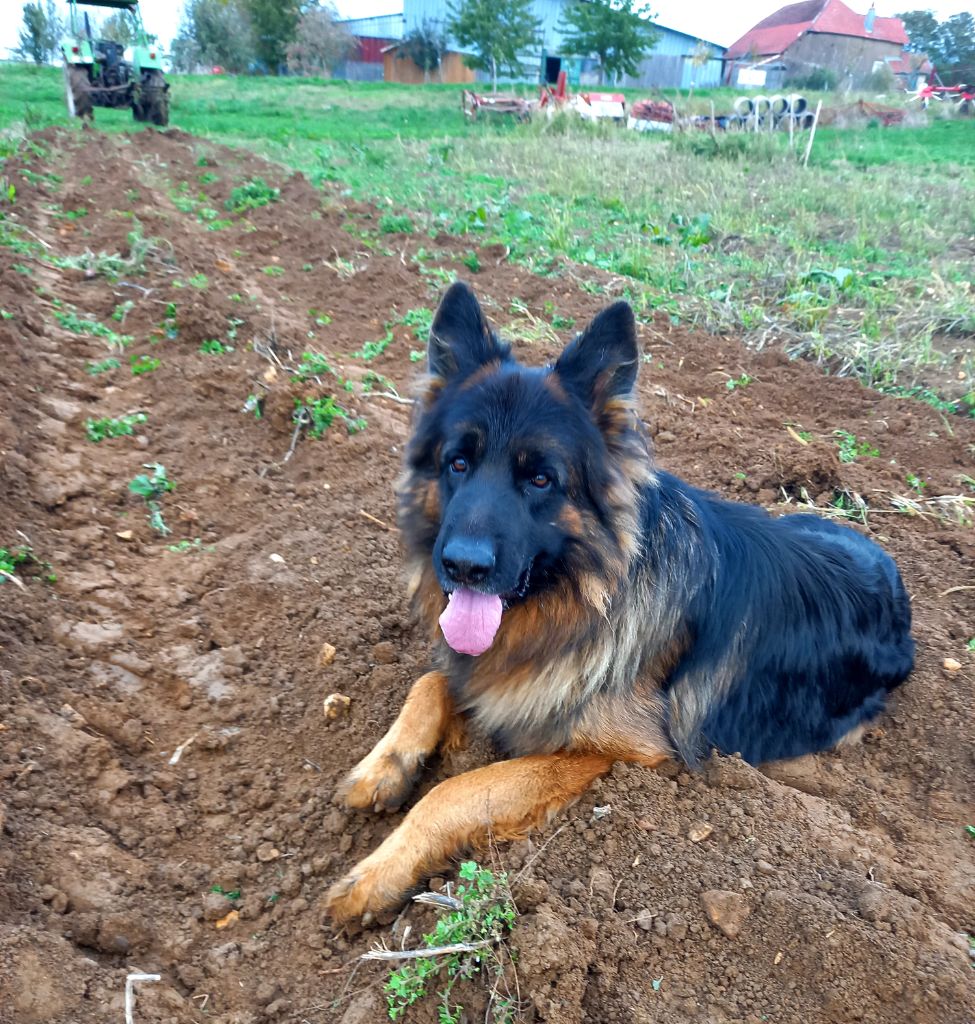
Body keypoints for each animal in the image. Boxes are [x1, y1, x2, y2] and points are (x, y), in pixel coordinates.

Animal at [325, 281, 914, 922]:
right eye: (457, 463)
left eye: (540, 480)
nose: (462, 566)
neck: (584, 596)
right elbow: (432, 681)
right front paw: (380, 769)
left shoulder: (618, 753)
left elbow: (454, 790)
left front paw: (373, 877)